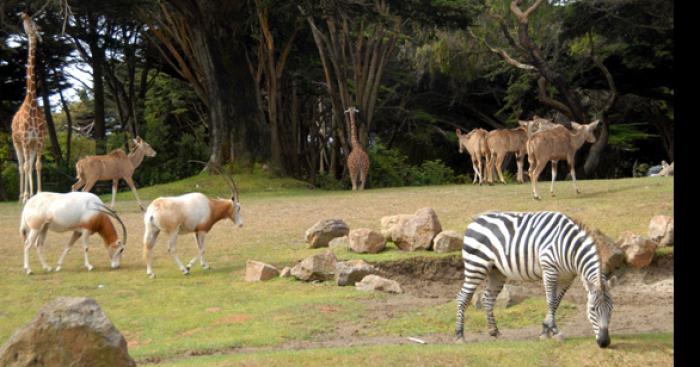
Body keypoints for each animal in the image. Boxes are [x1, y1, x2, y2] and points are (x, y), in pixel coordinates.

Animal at [454, 211, 612, 350]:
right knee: (462, 297)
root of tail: (474, 221)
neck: (569, 248)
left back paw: (494, 332)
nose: (604, 343)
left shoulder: (567, 278)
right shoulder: (549, 270)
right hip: (476, 265)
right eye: (592, 309)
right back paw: (459, 335)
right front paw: (554, 331)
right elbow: (551, 301)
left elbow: (556, 303)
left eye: (611, 309)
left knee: (488, 298)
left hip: (496, 271)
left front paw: (545, 331)